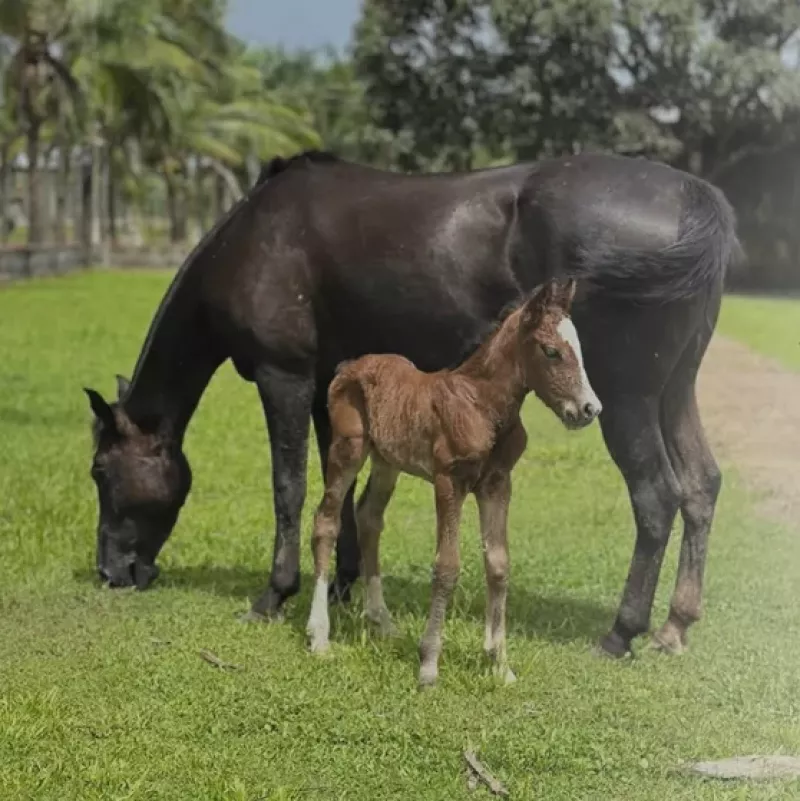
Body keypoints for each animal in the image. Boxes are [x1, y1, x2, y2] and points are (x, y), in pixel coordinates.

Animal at [305, 278, 600, 686]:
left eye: (580, 348)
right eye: (551, 351)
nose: (590, 409)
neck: (482, 405)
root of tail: (349, 366)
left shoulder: (497, 484)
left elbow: (499, 565)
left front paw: (500, 665)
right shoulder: (449, 481)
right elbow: (447, 566)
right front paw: (429, 665)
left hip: (387, 461)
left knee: (369, 517)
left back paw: (382, 621)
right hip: (348, 447)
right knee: (327, 521)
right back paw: (319, 637)